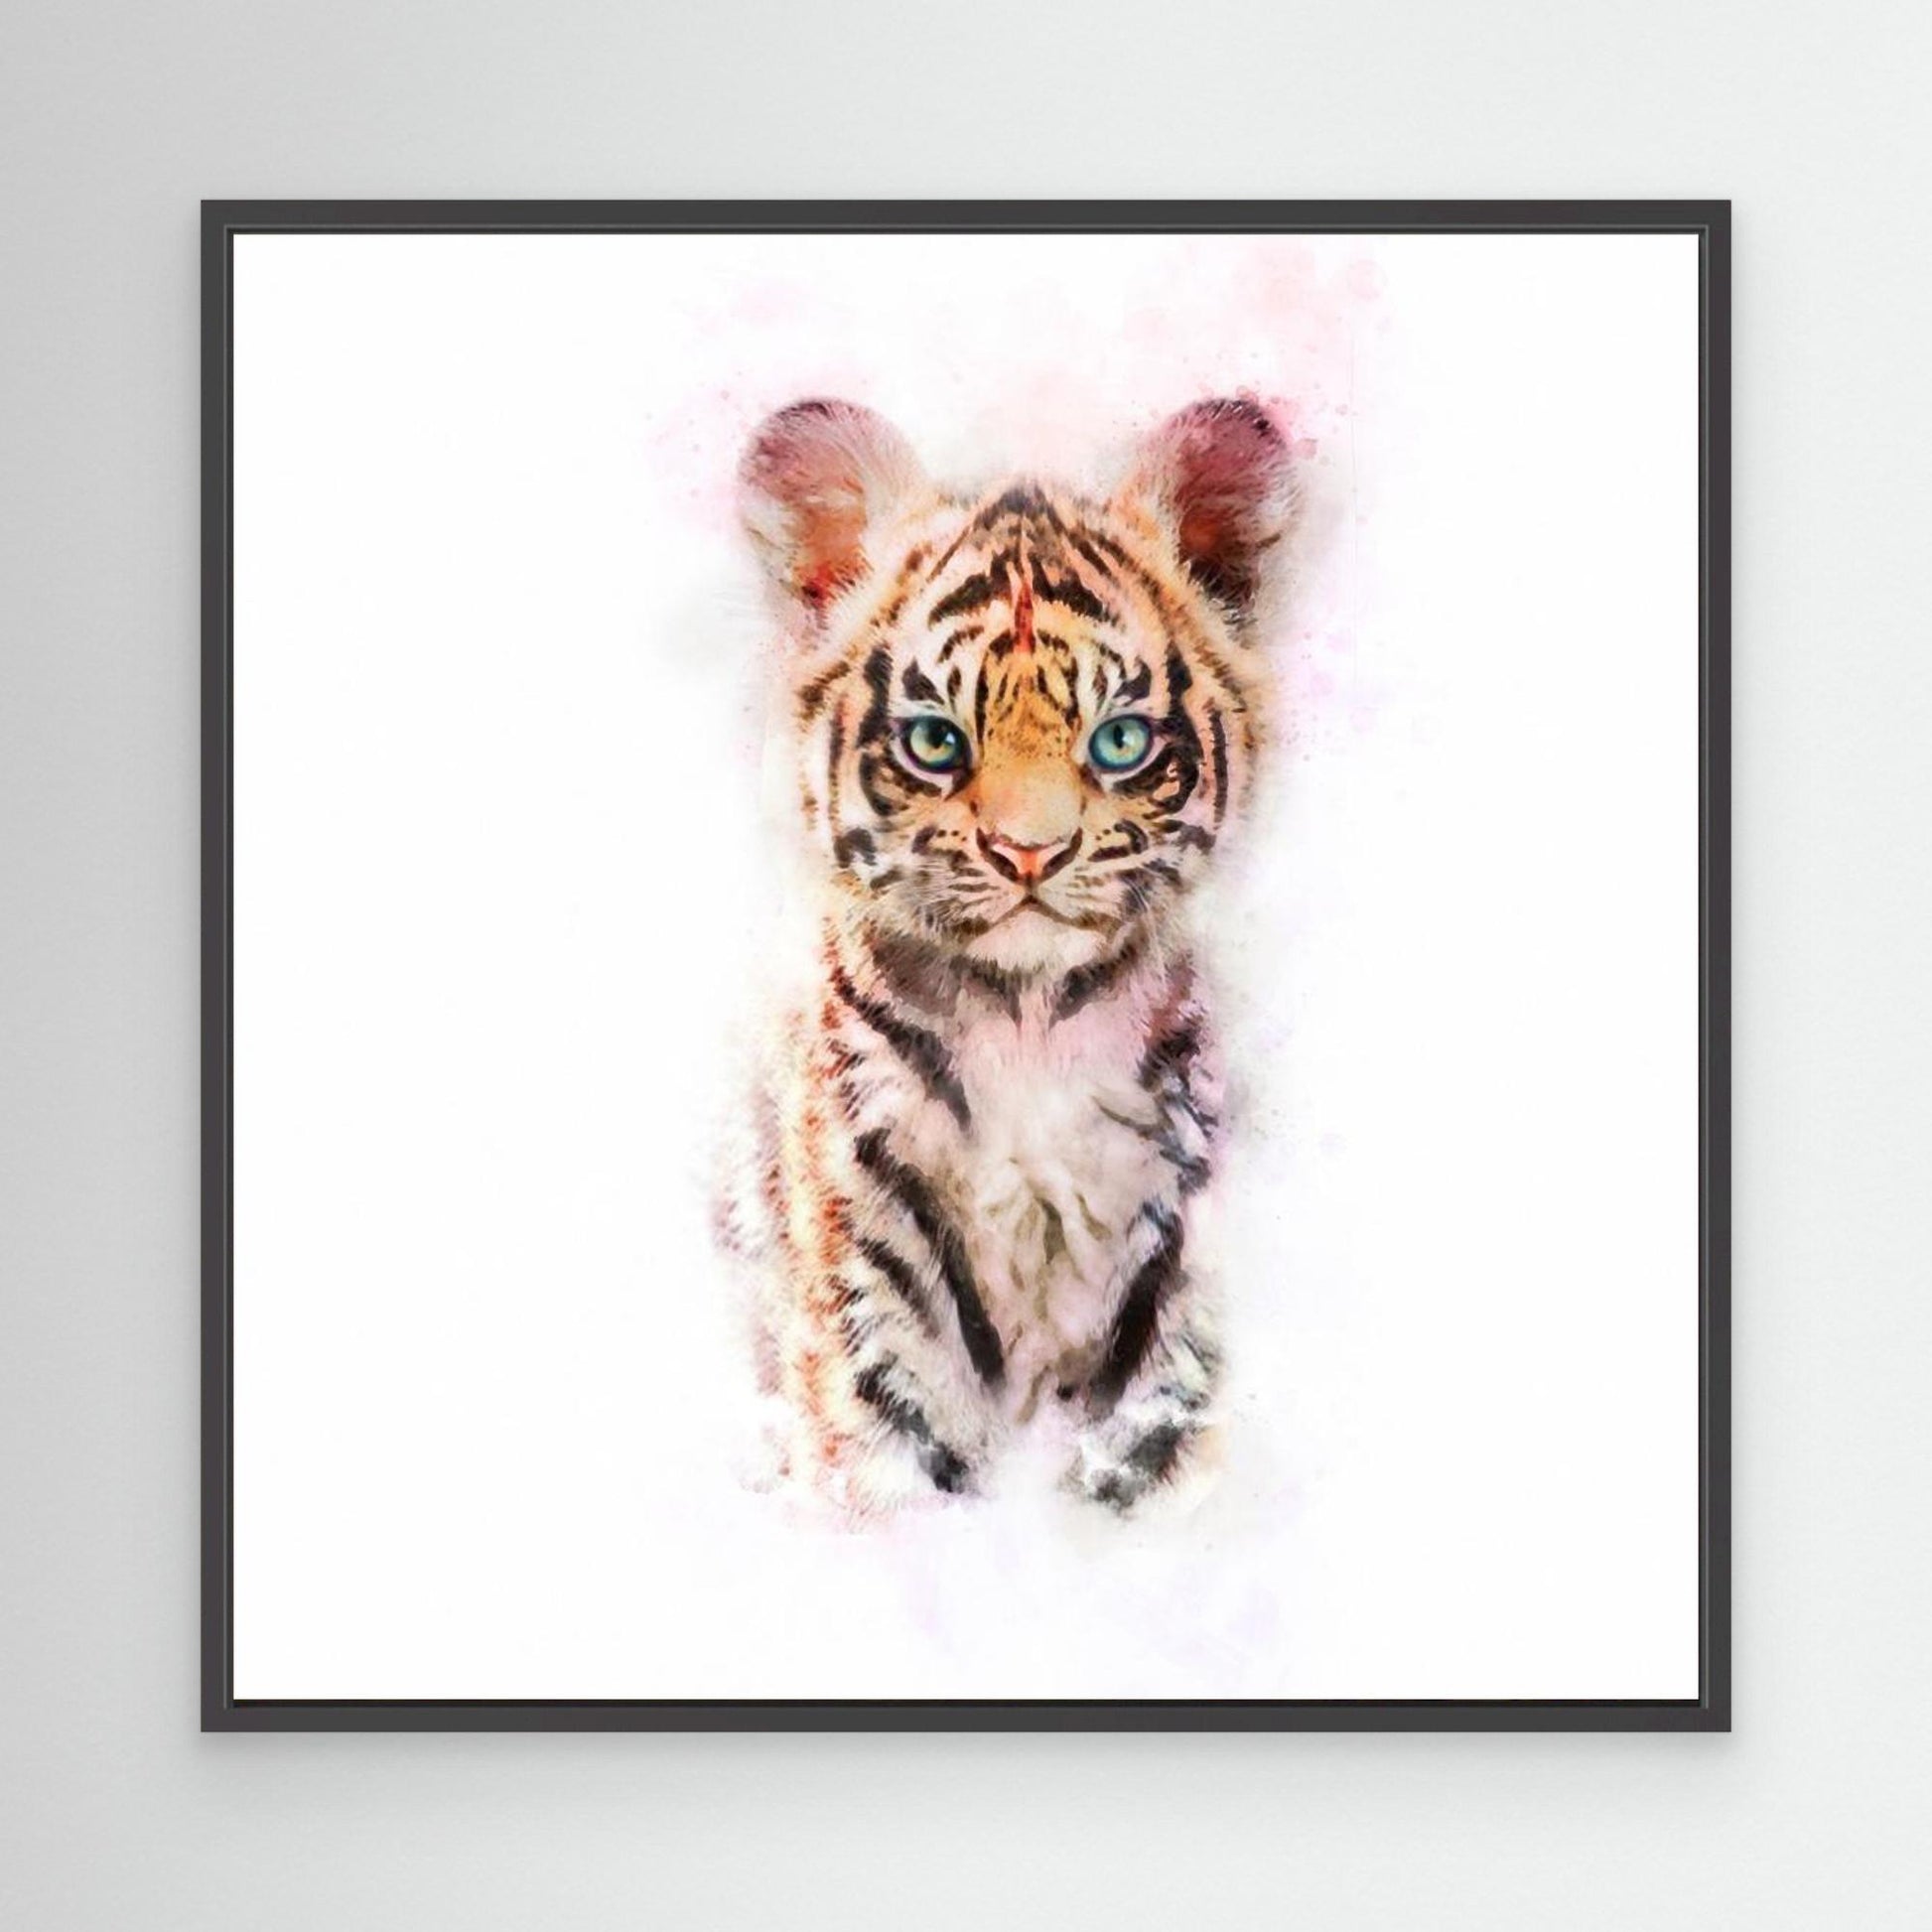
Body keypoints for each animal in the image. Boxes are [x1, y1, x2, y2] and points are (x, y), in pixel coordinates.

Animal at [721, 394, 1297, 1517]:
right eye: (936, 742)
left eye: (1118, 742)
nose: (1030, 850)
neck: (1029, 1029)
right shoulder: (869, 1270)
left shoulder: (1176, 1267)